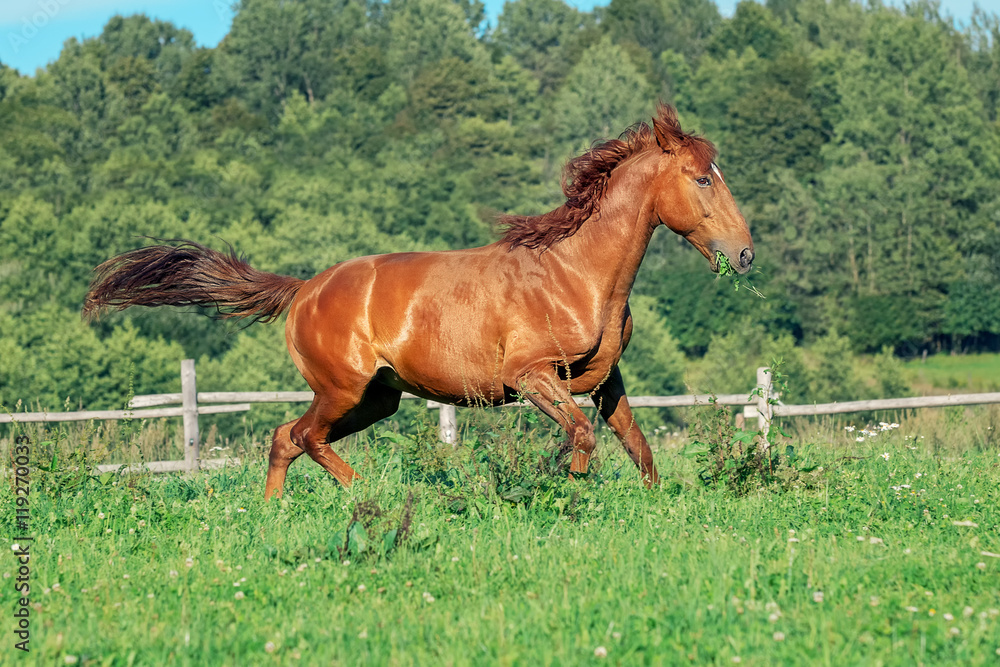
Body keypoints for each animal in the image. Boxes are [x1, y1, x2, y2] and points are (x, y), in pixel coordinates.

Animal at [83, 103, 754, 500]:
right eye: (702, 178)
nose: (745, 254)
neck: (575, 274)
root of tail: (304, 289)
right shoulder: (532, 375)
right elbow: (583, 438)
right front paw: (566, 497)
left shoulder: (605, 377)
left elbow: (636, 446)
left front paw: (652, 506)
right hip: (342, 390)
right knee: (305, 437)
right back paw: (368, 493)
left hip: (376, 399)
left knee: (282, 438)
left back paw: (274, 512)